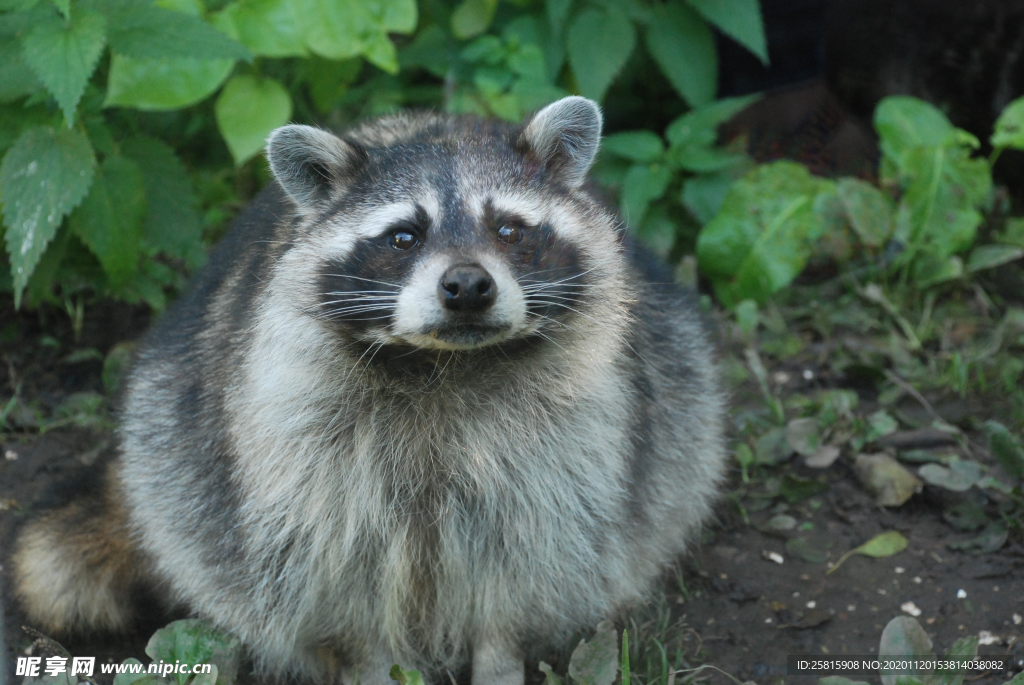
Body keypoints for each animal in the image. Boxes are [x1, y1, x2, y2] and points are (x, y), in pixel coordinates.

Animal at [12, 94, 724, 683]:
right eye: (404, 236)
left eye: (509, 229)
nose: (467, 286)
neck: (445, 363)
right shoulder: (301, 447)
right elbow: (337, 576)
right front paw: (368, 661)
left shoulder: (568, 442)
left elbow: (526, 560)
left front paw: (500, 657)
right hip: (171, 435)